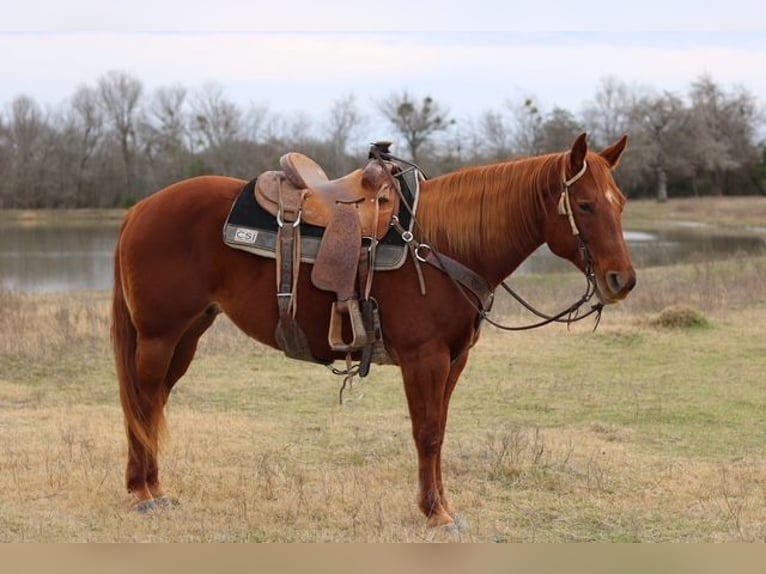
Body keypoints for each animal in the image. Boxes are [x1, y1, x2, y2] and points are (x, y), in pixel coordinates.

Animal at [111, 133, 636, 527]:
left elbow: (440, 429)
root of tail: (139, 209)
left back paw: (151, 486)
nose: (622, 280)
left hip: (188, 334)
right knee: (144, 400)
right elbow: (427, 433)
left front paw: (443, 506)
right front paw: (435, 514)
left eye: (622, 203)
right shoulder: (425, 358)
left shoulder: (454, 359)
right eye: (585, 205)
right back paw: (143, 492)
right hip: (160, 336)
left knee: (154, 402)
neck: (442, 243)